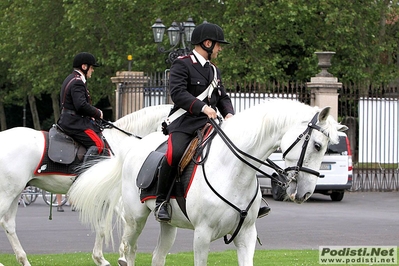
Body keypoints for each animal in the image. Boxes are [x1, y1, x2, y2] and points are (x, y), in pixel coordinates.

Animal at [0, 104, 172, 266]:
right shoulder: (115, 197)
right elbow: (124, 222)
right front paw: (122, 256)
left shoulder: (104, 197)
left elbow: (101, 228)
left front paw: (100, 258)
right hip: (7, 193)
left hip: (16, 192)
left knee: (8, 224)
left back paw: (23, 260)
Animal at [68, 100, 346, 266]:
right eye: (318, 145)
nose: (305, 192)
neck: (235, 172)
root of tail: (132, 148)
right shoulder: (201, 236)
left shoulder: (246, 235)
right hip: (135, 219)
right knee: (129, 252)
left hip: (168, 225)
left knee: (158, 256)